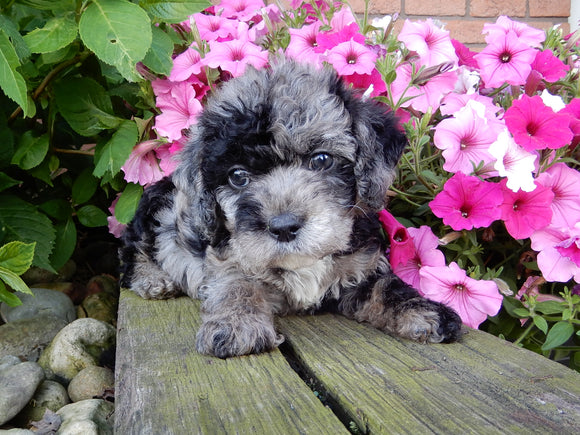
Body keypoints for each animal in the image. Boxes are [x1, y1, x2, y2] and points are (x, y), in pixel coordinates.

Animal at [119, 60, 462, 358]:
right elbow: (236, 284)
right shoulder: (228, 258)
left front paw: (425, 311)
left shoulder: (362, 266)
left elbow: (387, 288)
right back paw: (153, 280)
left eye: (321, 159)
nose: (283, 227)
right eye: (237, 176)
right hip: (153, 210)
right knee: (132, 248)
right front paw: (235, 325)